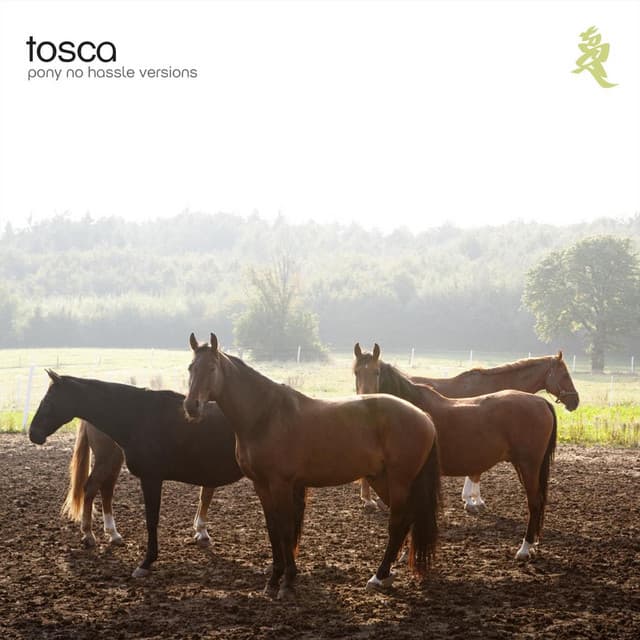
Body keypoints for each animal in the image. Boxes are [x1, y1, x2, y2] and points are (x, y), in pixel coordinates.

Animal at [62, 420, 217, 549]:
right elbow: (206, 496)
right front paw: (202, 533)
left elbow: (204, 496)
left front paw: (199, 530)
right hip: (107, 456)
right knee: (91, 488)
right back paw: (88, 535)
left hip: (115, 457)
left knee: (106, 489)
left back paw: (113, 534)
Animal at [184, 333, 442, 598]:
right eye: (191, 367)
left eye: (212, 368)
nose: (192, 406)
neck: (265, 416)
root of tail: (424, 417)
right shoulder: (261, 485)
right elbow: (273, 529)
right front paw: (273, 581)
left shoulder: (281, 484)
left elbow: (286, 529)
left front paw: (287, 581)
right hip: (382, 480)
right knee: (406, 519)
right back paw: (387, 574)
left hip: (399, 482)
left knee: (398, 522)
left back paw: (378, 576)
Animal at [353, 343, 557, 561]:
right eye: (356, 372)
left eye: (376, 372)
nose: (365, 400)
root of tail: (541, 402)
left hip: (528, 465)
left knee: (535, 503)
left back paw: (525, 548)